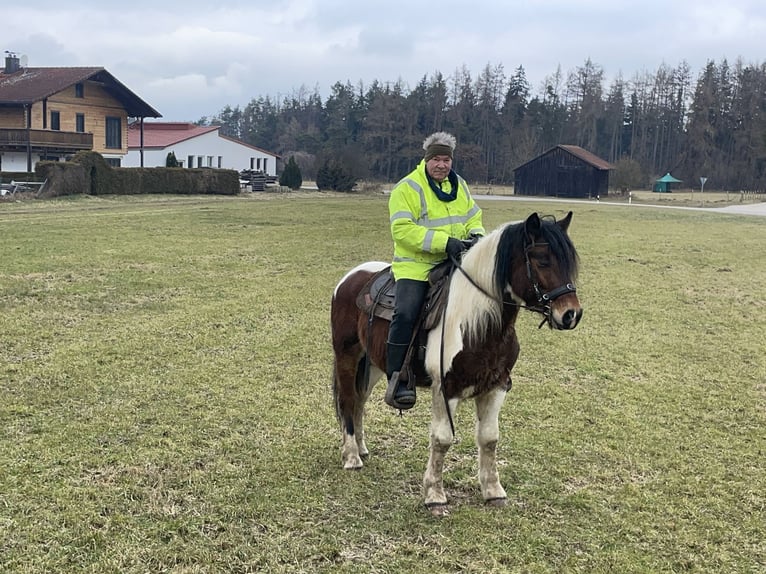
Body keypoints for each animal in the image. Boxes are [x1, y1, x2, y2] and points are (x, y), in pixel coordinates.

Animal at [328, 213, 584, 516]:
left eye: (569, 263)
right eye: (542, 260)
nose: (571, 314)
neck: (475, 321)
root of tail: (350, 278)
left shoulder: (497, 386)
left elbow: (489, 438)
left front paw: (493, 491)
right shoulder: (445, 388)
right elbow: (442, 440)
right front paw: (434, 495)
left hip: (375, 366)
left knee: (359, 401)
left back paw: (361, 448)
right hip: (347, 356)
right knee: (347, 400)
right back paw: (351, 456)